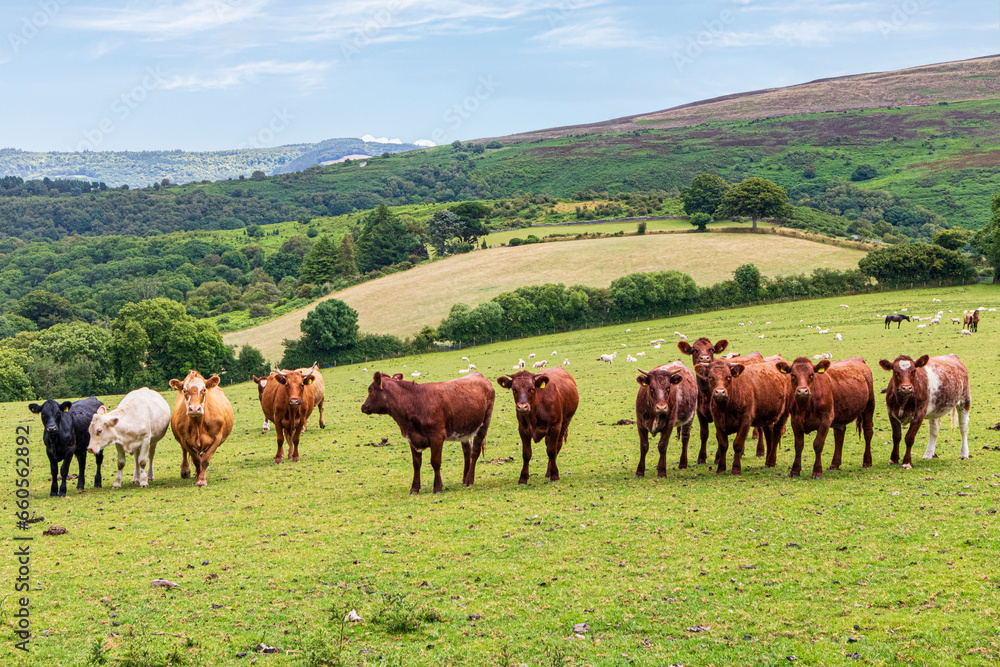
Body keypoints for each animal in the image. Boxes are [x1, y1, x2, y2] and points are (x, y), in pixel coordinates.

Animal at [364, 374, 496, 494]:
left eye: (370, 390)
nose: (363, 407)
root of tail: (479, 376)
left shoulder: (437, 437)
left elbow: (435, 462)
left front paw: (437, 487)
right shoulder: (412, 439)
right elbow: (416, 464)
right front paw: (414, 488)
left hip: (484, 423)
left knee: (475, 451)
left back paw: (469, 479)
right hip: (464, 430)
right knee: (467, 452)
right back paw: (464, 478)